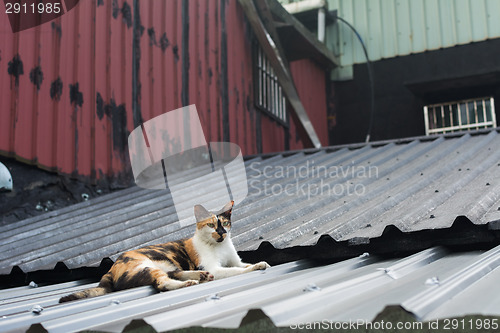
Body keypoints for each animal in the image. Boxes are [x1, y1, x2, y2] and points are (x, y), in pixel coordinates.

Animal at [59, 200, 270, 300]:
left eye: (225, 223)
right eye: (211, 225)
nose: (222, 233)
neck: (221, 246)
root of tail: (110, 269)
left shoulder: (236, 261)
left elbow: (242, 265)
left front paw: (258, 264)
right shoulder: (217, 268)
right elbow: (237, 270)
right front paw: (257, 266)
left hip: (166, 266)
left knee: (173, 274)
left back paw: (199, 276)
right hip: (145, 266)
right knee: (162, 284)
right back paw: (191, 282)